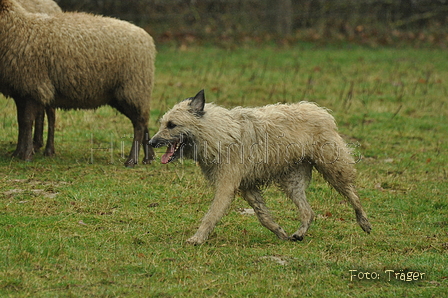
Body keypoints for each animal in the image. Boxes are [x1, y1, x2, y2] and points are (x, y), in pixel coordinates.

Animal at [0, 0, 157, 166]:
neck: (17, 27)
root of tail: (148, 39)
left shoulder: (32, 87)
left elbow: (27, 121)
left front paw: (26, 156)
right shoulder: (20, 90)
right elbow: (22, 122)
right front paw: (17, 153)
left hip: (133, 88)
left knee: (139, 124)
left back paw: (131, 160)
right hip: (126, 93)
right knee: (143, 120)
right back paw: (149, 157)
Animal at [150, 90, 372, 244]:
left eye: (171, 125)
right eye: (162, 123)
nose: (151, 142)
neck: (217, 133)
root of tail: (319, 110)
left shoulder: (226, 187)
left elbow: (211, 215)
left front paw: (197, 238)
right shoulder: (247, 187)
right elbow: (263, 216)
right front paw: (280, 232)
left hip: (334, 169)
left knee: (353, 194)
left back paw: (364, 221)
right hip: (292, 181)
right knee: (308, 212)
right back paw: (299, 233)